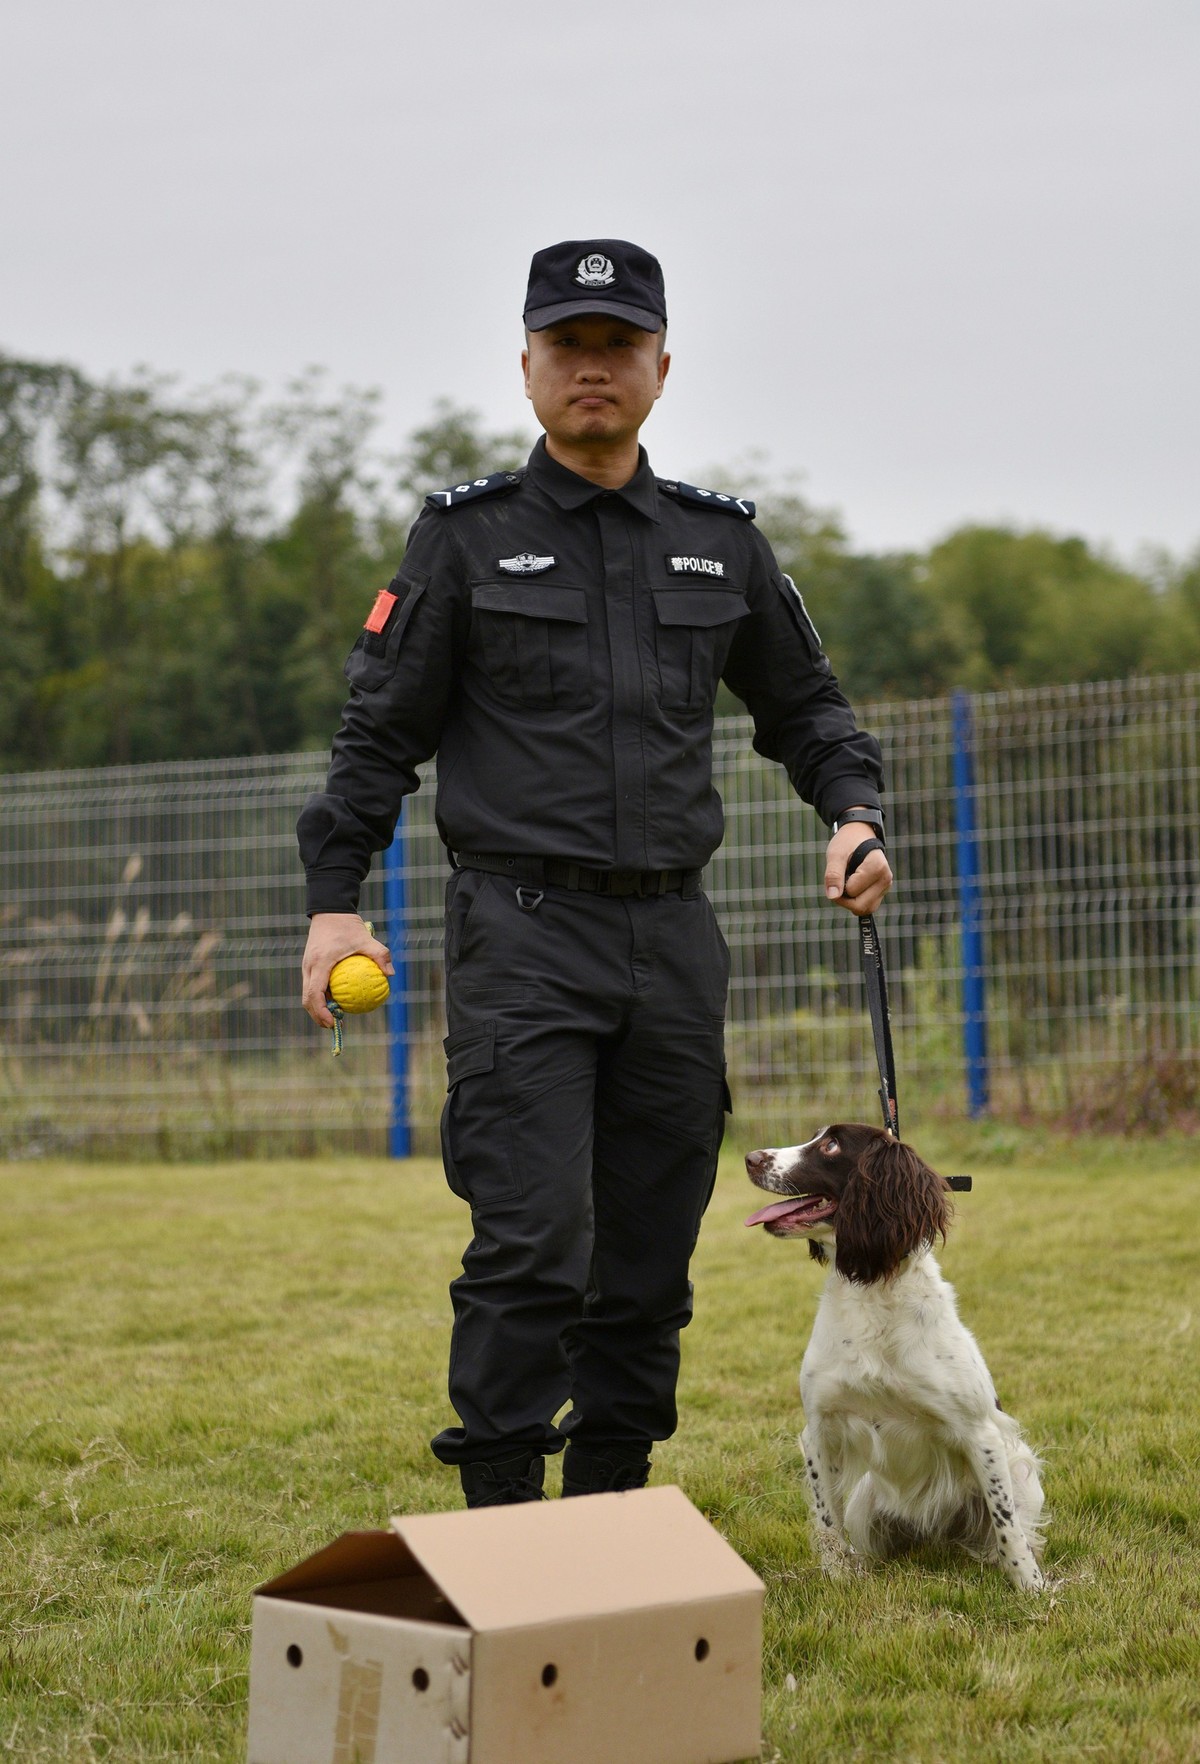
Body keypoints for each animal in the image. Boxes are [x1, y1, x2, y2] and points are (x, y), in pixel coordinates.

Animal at [744, 1128, 1044, 1601]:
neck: (874, 1291)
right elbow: (827, 1522)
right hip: (867, 1501)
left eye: (831, 1145)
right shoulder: (819, 1430)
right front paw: (838, 1579)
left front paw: (1032, 1588)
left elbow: (1008, 1526)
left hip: (1022, 1470)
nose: (750, 1158)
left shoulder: (982, 1436)